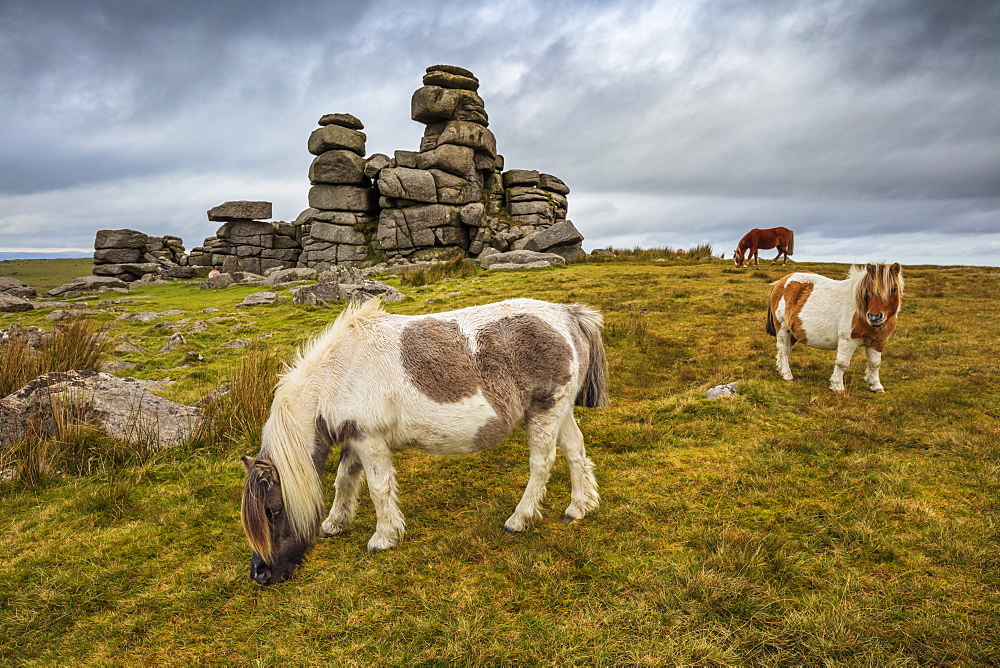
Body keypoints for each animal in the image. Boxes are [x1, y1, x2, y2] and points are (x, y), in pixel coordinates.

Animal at [240, 298, 608, 584]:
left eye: (273, 511)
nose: (261, 575)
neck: (339, 373)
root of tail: (568, 314)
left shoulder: (370, 440)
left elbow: (378, 488)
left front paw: (383, 537)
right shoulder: (355, 439)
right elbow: (345, 480)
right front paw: (334, 523)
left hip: (545, 412)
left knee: (542, 464)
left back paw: (520, 519)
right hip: (559, 411)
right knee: (575, 451)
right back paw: (579, 507)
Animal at [764, 264, 908, 392]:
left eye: (894, 289)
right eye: (867, 290)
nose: (874, 317)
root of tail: (781, 282)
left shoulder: (878, 342)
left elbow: (875, 364)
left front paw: (876, 386)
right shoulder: (848, 341)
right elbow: (842, 363)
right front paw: (837, 387)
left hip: (793, 332)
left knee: (785, 350)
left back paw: (780, 369)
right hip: (783, 328)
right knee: (783, 350)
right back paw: (787, 375)